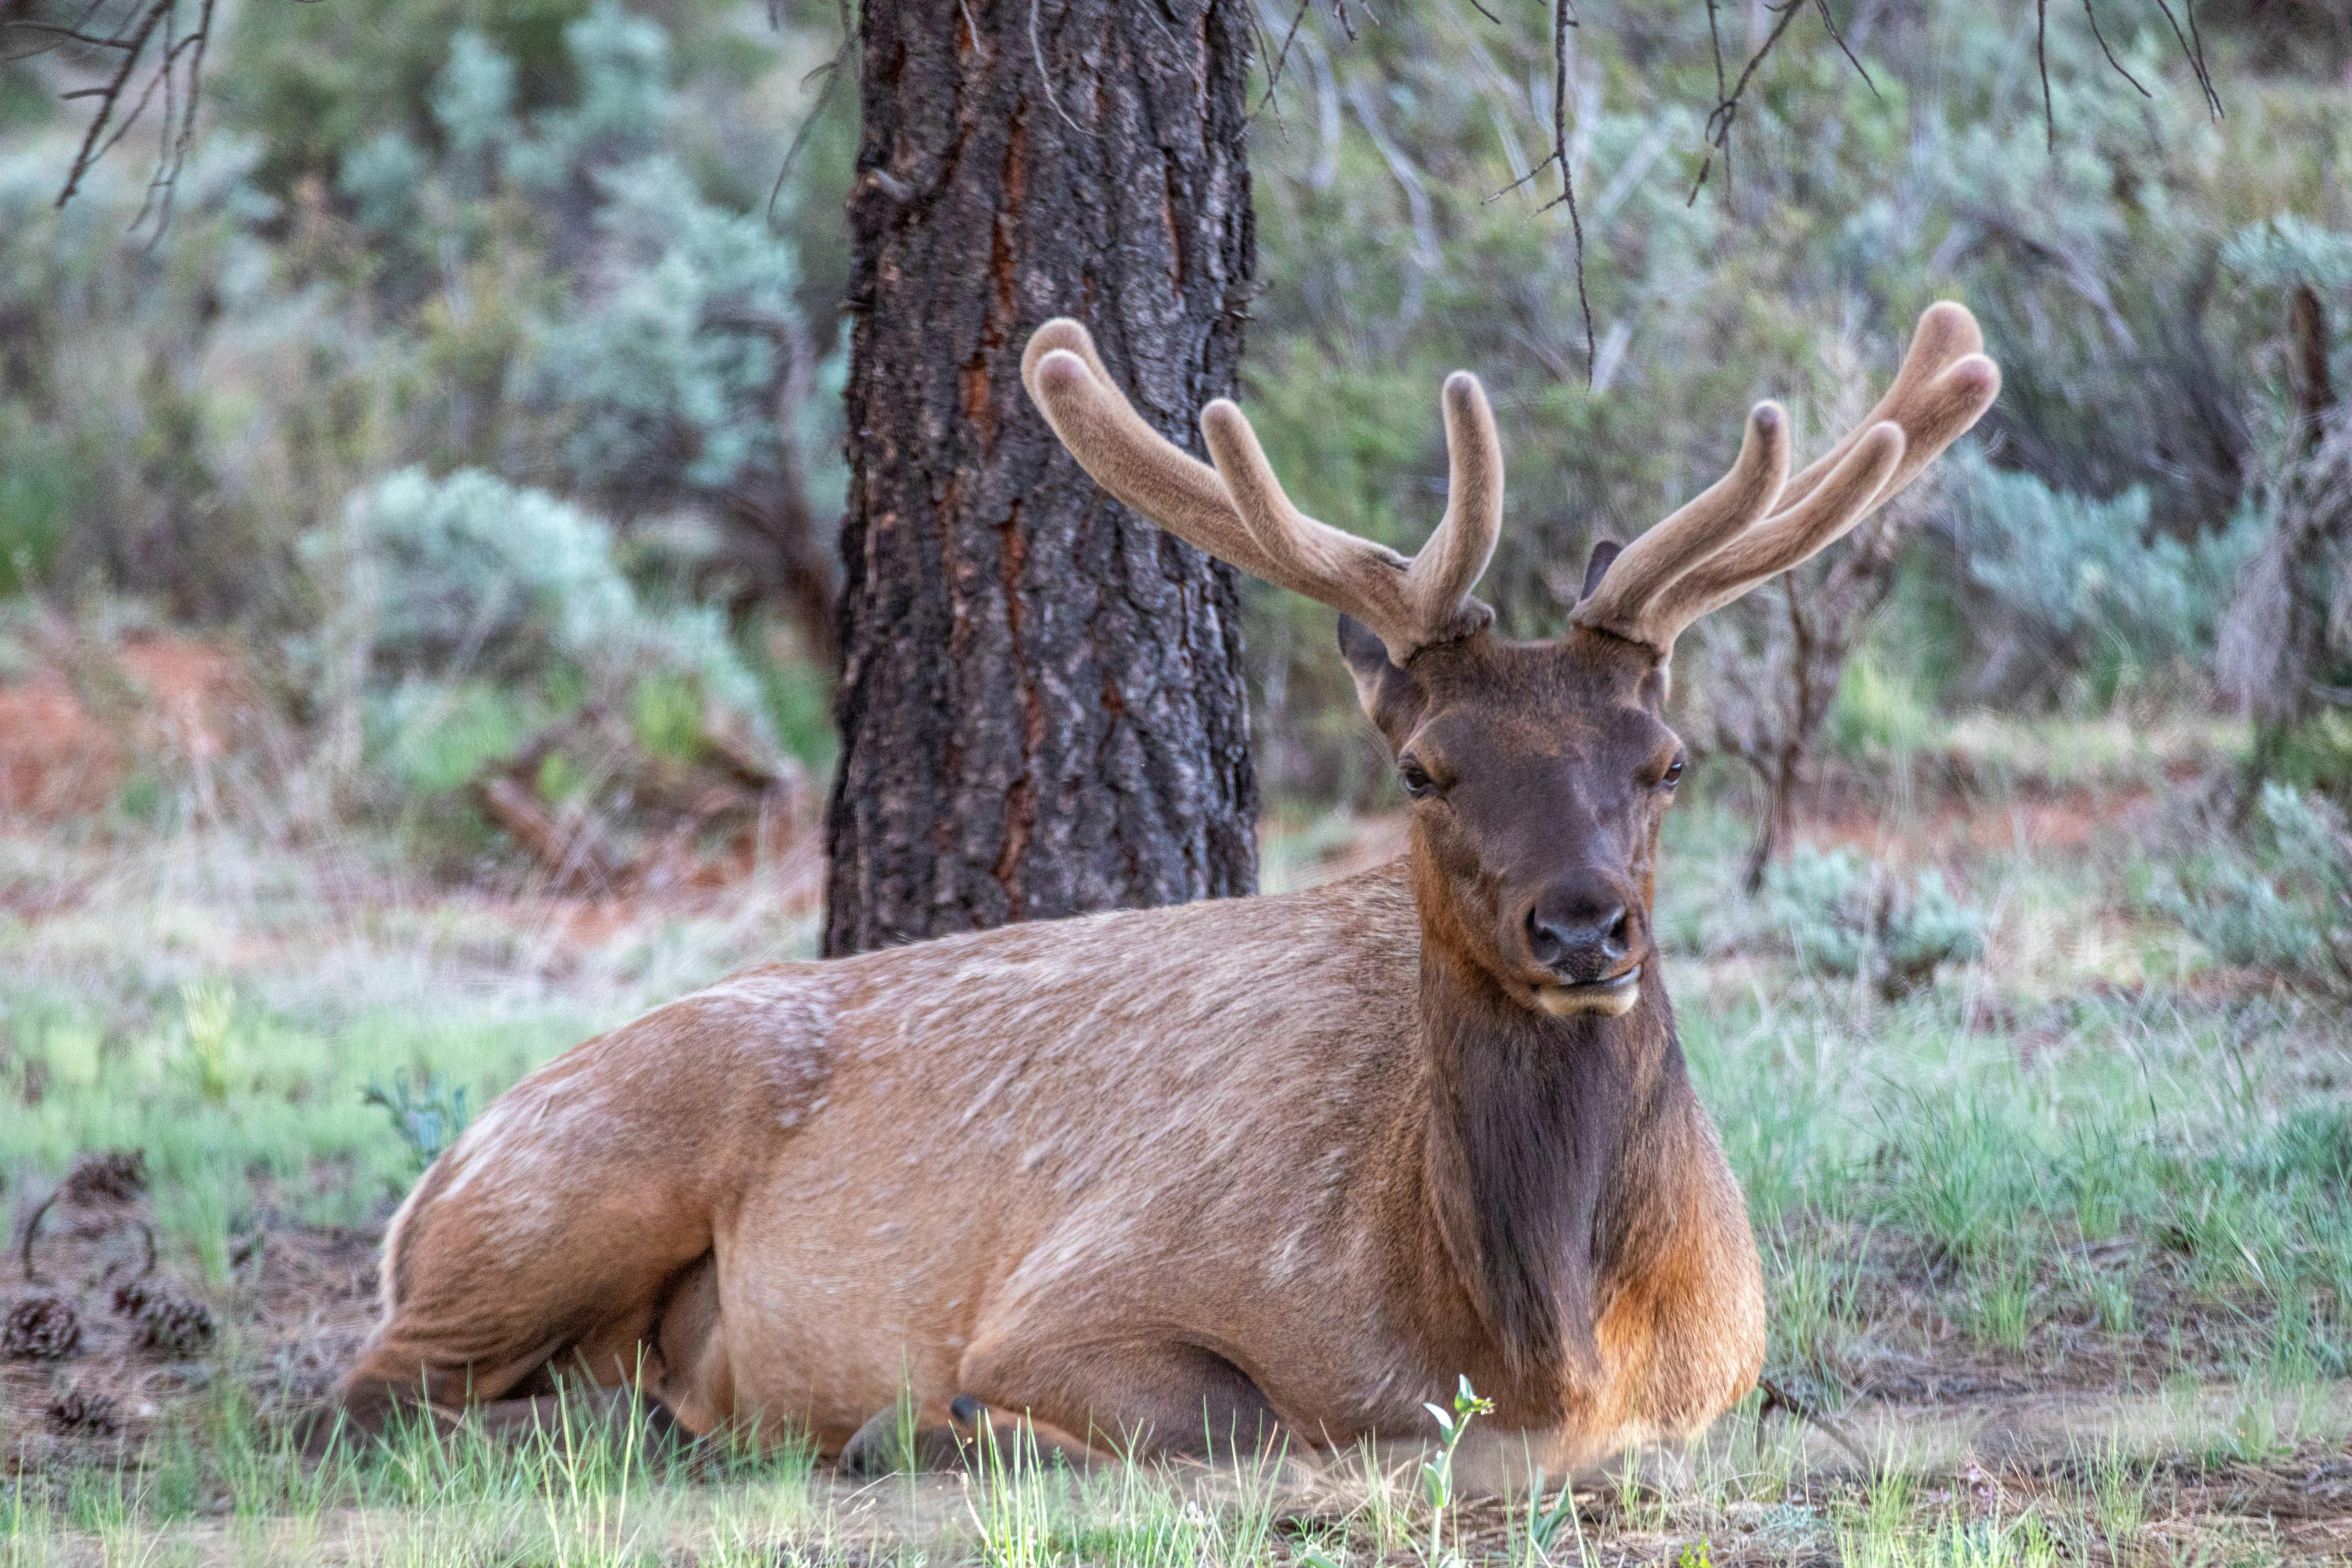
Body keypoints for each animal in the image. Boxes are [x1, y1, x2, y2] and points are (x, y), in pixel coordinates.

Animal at [341, 303, 1994, 1485]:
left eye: (1662, 761)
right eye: (1422, 768)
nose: (1583, 925)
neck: (1535, 1345)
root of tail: (435, 1178)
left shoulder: (1722, 1370)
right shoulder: (1075, 1292)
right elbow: (1242, 1423)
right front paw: (923, 1422)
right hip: (561, 1190)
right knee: (367, 1392)